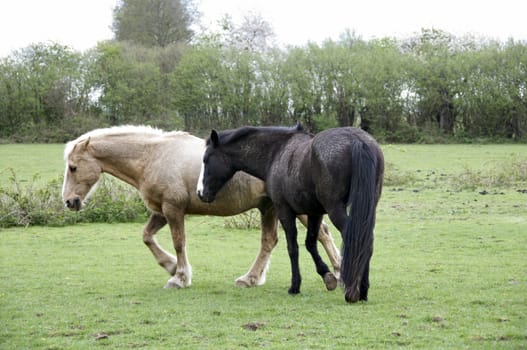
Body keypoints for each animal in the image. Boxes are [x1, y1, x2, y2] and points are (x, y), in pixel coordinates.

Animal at [62, 126, 342, 290]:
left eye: (73, 167)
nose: (68, 201)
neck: (153, 157)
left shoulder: (173, 209)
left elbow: (179, 242)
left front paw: (179, 277)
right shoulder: (161, 211)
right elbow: (147, 236)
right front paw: (170, 266)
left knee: (321, 234)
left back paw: (337, 273)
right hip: (270, 207)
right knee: (272, 241)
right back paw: (252, 278)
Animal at [198, 124, 384, 302]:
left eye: (206, 159)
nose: (200, 193)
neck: (277, 152)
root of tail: (358, 141)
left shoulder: (284, 211)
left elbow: (293, 248)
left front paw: (295, 286)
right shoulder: (314, 212)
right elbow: (310, 244)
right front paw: (328, 276)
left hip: (335, 209)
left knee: (355, 238)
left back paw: (352, 292)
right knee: (367, 240)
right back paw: (363, 291)